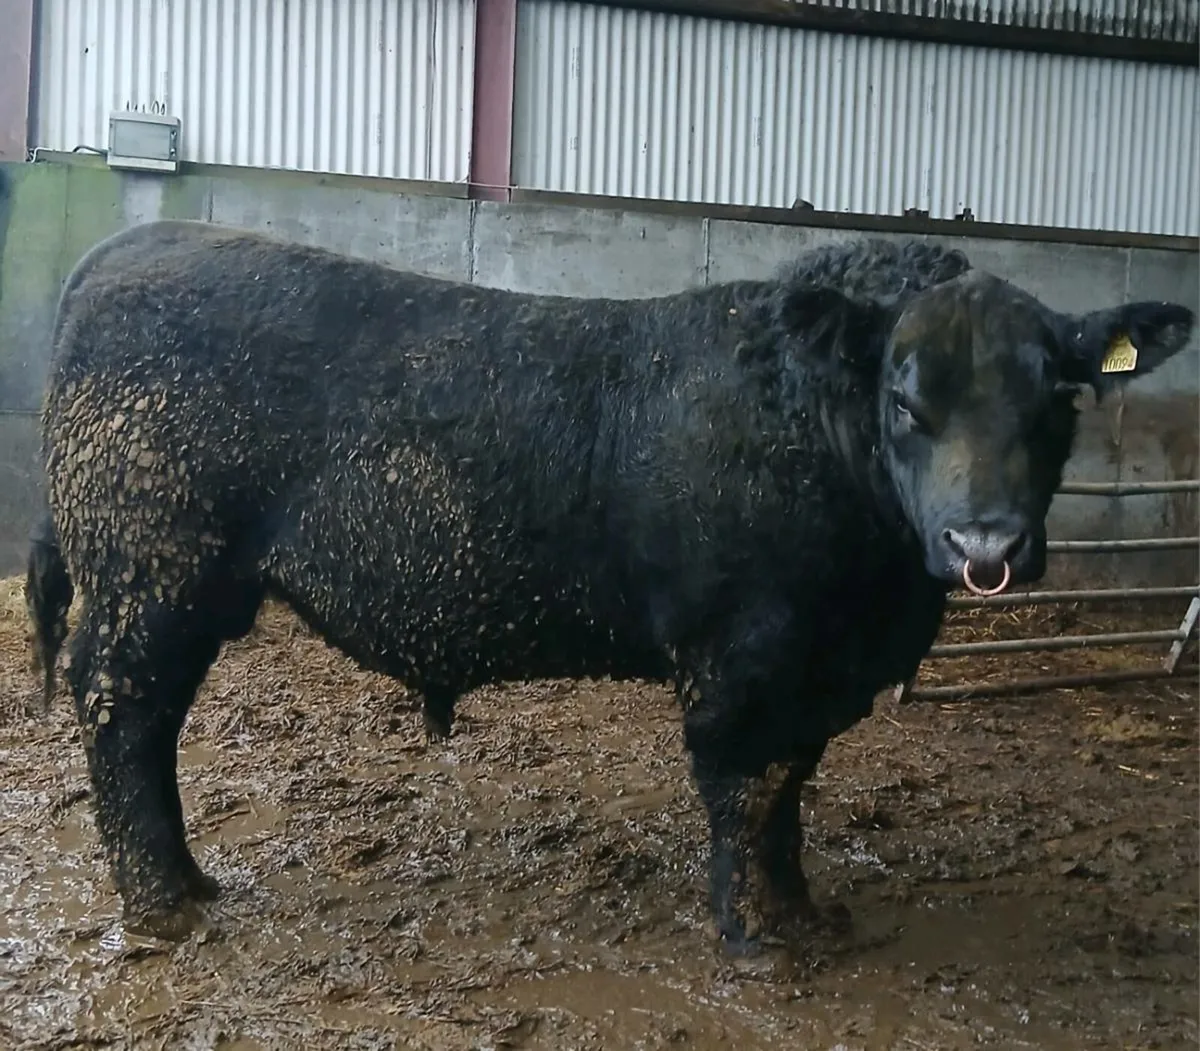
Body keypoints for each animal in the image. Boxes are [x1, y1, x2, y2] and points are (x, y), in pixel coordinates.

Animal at [26, 219, 1194, 953]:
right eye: (905, 399)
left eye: (1057, 399)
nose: (984, 539)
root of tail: (130, 249)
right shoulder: (739, 655)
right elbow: (745, 786)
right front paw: (756, 938)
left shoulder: (815, 671)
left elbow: (793, 788)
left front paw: (804, 912)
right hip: (148, 576)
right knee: (122, 713)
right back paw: (168, 906)